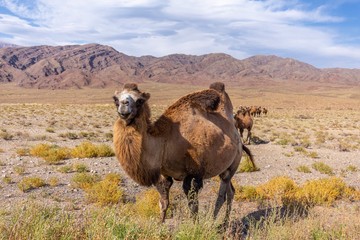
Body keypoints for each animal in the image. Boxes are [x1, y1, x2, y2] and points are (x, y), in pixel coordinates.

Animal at [114, 82, 255, 223]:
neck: (165, 142)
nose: (124, 107)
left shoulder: (193, 174)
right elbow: (163, 202)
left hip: (233, 163)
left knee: (222, 194)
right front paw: (160, 224)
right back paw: (225, 222)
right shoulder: (164, 174)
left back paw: (214, 222)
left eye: (139, 100)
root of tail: (239, 143)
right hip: (223, 168)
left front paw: (195, 225)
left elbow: (193, 206)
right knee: (231, 191)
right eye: (115, 99)